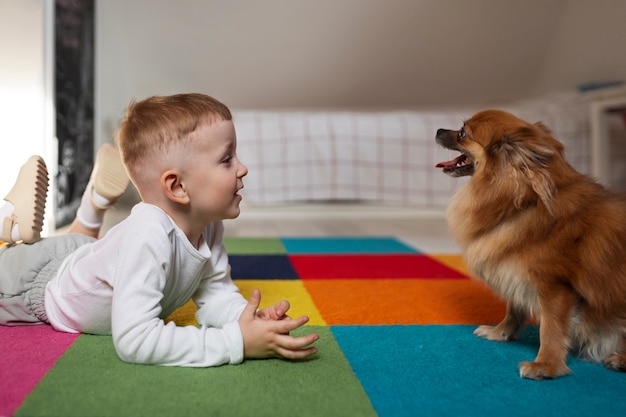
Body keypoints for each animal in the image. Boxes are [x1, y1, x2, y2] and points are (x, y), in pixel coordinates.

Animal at [436, 109, 624, 378]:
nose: (438, 130)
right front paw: (500, 333)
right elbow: (514, 309)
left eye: (462, 133)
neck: (526, 203)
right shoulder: (515, 271)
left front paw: (546, 366)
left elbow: (551, 328)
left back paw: (620, 358)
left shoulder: (555, 287)